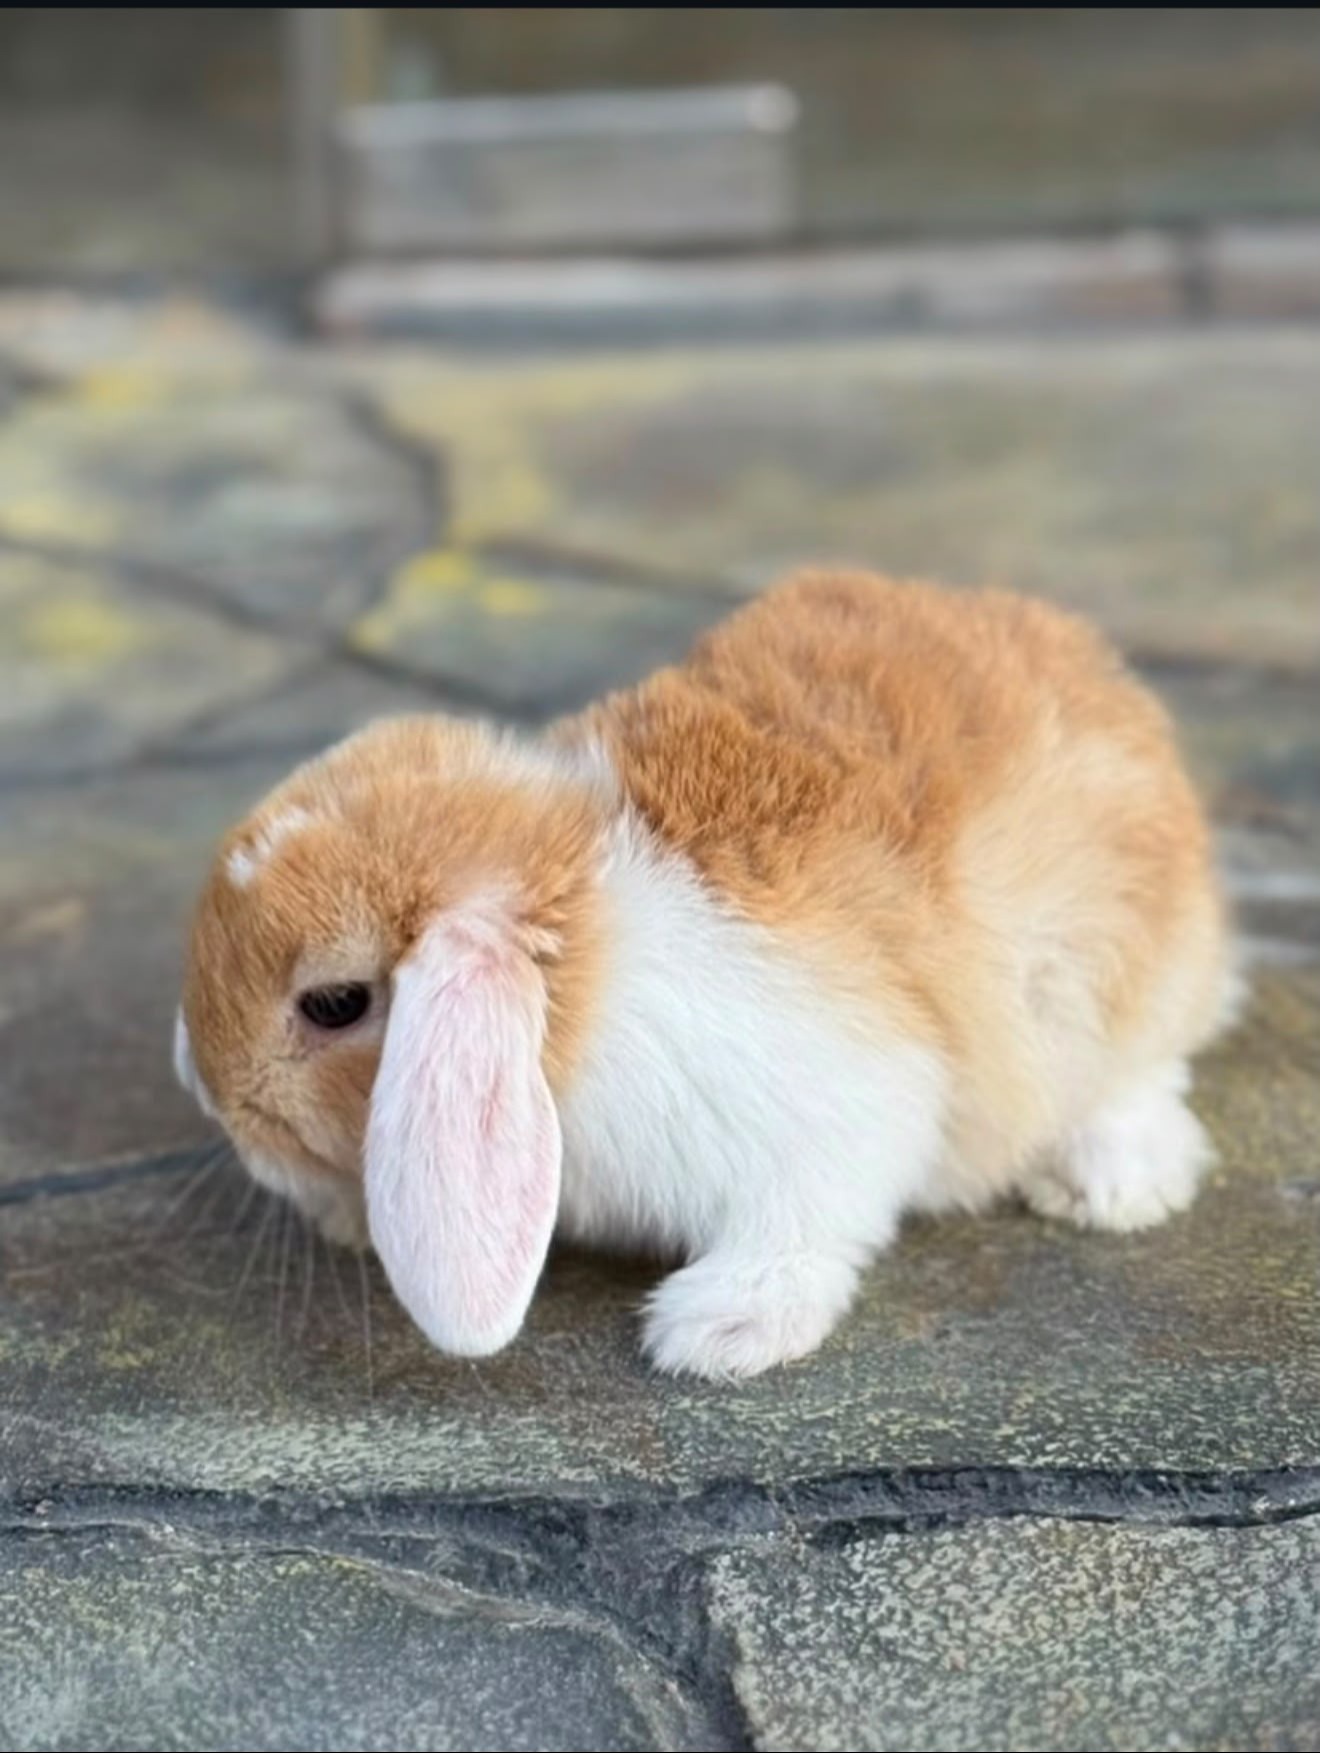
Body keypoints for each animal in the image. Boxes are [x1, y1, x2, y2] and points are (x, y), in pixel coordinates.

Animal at [174, 570, 1236, 1380]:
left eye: (335, 1003)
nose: (201, 1085)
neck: (579, 965)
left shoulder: (841, 1112)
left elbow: (807, 1223)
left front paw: (717, 1333)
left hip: (1109, 979)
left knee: (1140, 1076)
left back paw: (1111, 1182)